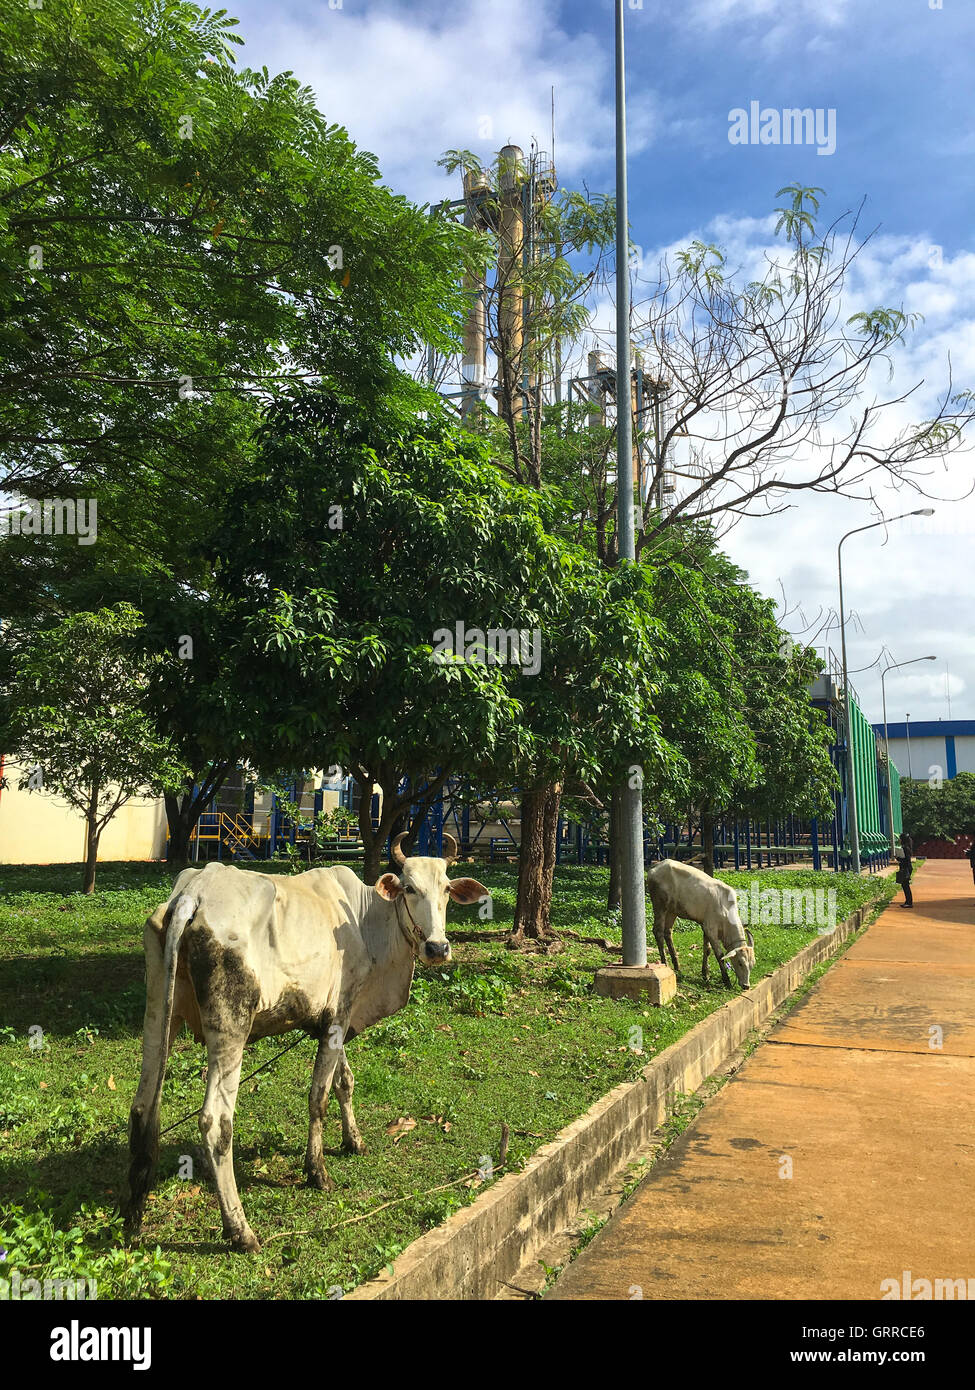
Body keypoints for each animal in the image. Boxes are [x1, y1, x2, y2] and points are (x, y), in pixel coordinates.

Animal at [123, 834, 484, 1262]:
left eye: (445, 889)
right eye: (410, 888)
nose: (437, 948)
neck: (366, 920)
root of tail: (193, 893)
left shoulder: (337, 1015)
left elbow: (345, 1082)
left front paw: (354, 1141)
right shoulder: (338, 1016)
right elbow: (319, 1097)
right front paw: (317, 1171)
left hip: (159, 1012)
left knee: (143, 1108)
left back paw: (132, 1216)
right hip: (230, 1028)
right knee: (215, 1122)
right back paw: (241, 1231)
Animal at [645, 856, 751, 989]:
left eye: (752, 964)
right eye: (740, 963)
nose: (746, 986)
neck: (726, 908)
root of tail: (654, 868)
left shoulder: (705, 926)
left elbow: (707, 950)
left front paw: (705, 974)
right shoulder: (711, 929)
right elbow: (719, 954)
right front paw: (726, 980)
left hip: (672, 911)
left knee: (667, 932)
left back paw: (677, 966)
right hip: (660, 906)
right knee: (658, 931)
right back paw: (666, 964)